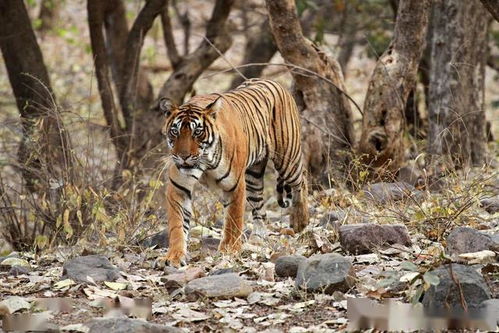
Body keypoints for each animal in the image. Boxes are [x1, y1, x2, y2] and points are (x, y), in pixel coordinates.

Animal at [159, 78, 308, 268]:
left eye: (197, 132)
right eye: (175, 131)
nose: (183, 156)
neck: (204, 161)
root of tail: (271, 81)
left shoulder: (234, 185)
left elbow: (233, 219)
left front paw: (229, 249)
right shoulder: (179, 187)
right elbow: (177, 225)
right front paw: (174, 257)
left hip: (288, 159)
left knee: (302, 180)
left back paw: (300, 222)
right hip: (253, 176)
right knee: (259, 208)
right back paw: (258, 238)